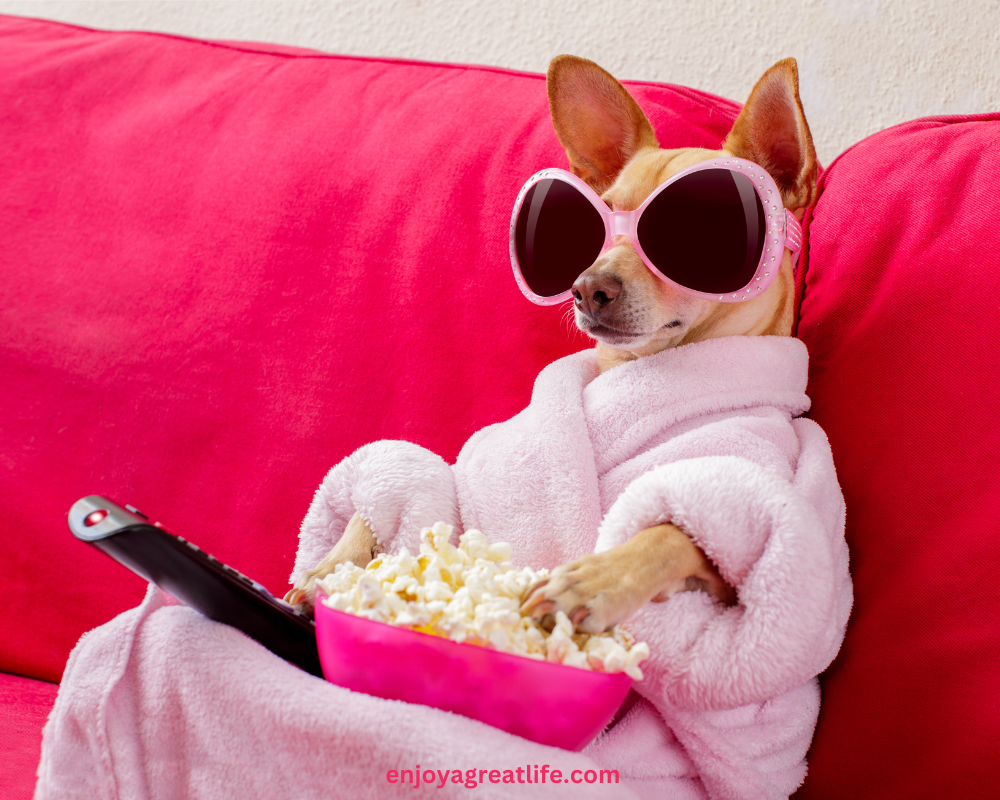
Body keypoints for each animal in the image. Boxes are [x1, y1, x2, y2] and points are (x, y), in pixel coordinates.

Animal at [286, 53, 816, 636]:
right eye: (600, 222)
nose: (588, 287)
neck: (637, 369)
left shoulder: (741, 518)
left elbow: (669, 531)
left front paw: (595, 579)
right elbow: (405, 496)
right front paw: (331, 569)